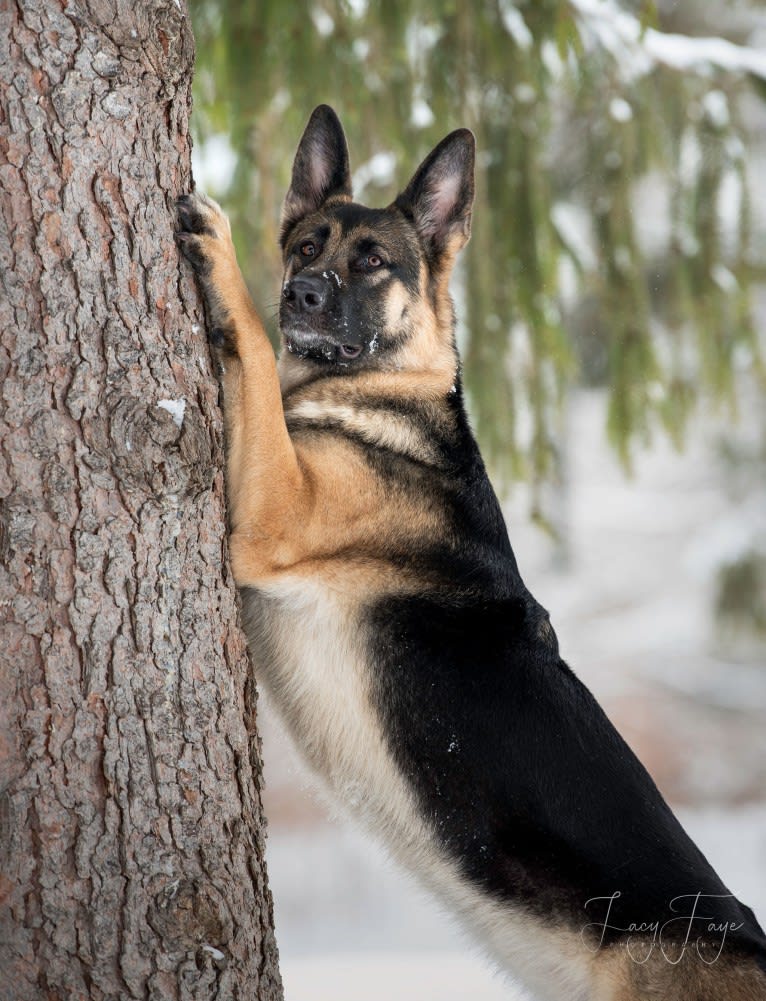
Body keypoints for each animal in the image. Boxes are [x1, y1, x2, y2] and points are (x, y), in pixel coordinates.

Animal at [175, 105, 764, 996]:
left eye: (372, 261)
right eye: (307, 245)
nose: (301, 294)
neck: (386, 394)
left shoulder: (274, 514)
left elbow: (250, 348)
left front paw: (221, 252)